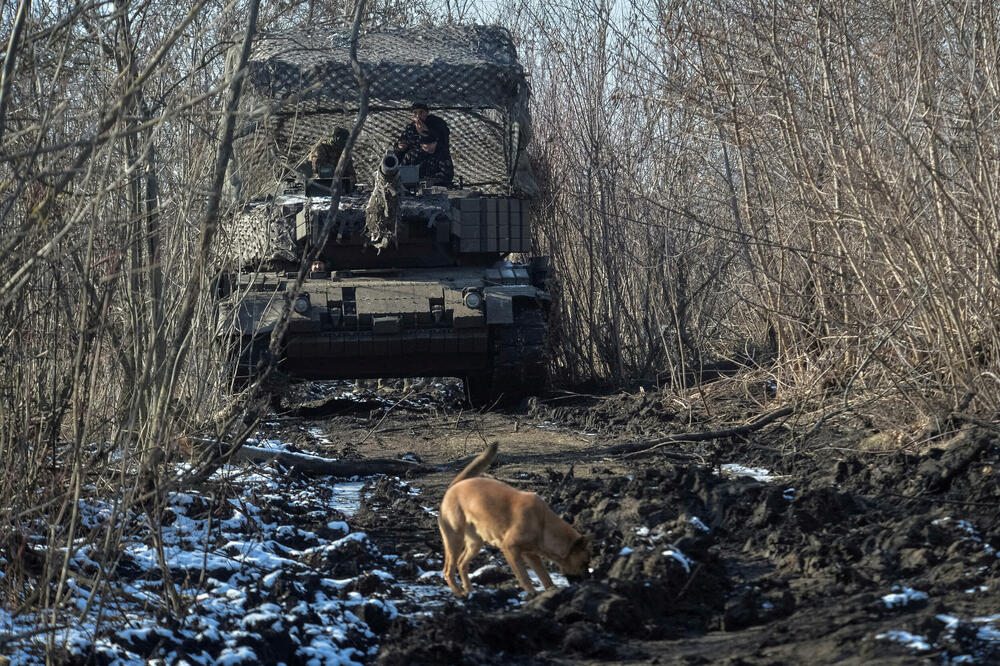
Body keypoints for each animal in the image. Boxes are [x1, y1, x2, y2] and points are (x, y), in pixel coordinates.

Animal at [436, 444, 584, 592]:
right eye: (585, 562)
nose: (587, 580)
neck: (542, 523)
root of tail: (454, 486)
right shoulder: (510, 549)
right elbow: (524, 578)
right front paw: (533, 594)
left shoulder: (531, 555)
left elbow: (545, 577)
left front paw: (551, 590)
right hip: (454, 539)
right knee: (448, 570)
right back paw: (460, 594)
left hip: (475, 543)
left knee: (461, 563)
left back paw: (470, 591)